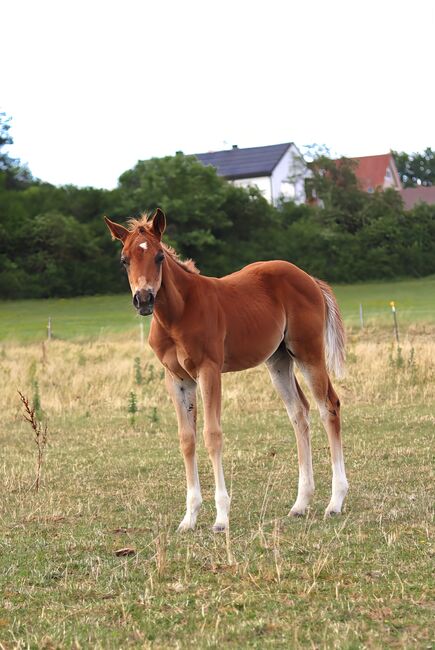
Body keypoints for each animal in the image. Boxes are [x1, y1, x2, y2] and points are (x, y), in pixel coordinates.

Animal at [104, 210, 348, 528]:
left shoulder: (209, 370)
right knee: (299, 413)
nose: (144, 299)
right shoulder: (177, 379)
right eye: (124, 259)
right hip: (278, 360)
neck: (178, 314)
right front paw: (189, 517)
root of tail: (309, 278)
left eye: (158, 256)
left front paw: (221, 517)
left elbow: (212, 435)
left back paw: (335, 502)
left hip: (308, 352)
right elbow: (187, 439)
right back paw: (300, 503)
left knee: (328, 406)